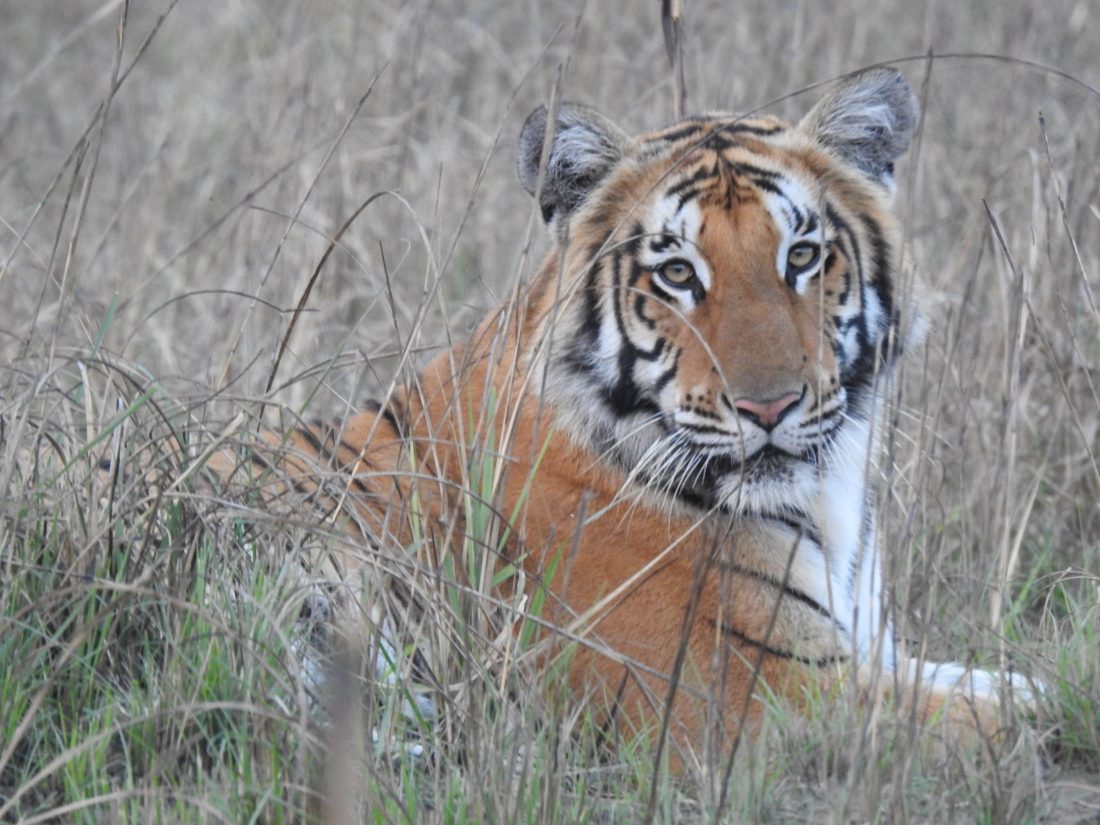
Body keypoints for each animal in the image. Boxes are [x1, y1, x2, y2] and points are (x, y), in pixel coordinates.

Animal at [216, 67, 1038, 765]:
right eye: (676, 273)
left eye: (803, 256)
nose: (769, 406)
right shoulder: (751, 697)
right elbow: (1018, 714)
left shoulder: (866, 652)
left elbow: (1005, 680)